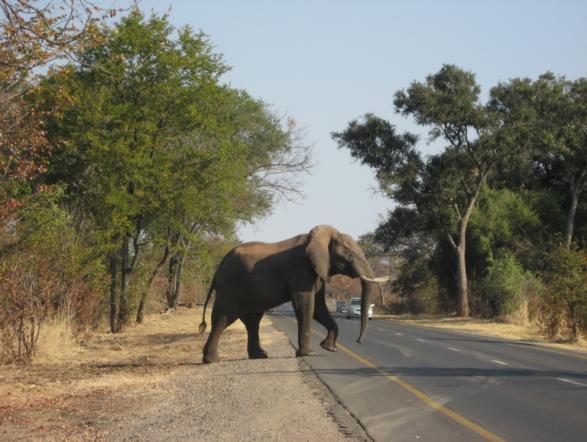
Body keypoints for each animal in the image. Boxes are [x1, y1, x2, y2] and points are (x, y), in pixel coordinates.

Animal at [200, 224, 388, 362]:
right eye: (350, 257)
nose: (359, 341)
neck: (318, 237)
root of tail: (218, 268)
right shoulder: (300, 270)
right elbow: (305, 306)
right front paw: (308, 354)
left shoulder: (316, 272)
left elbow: (318, 307)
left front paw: (328, 348)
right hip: (231, 287)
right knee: (223, 318)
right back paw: (212, 360)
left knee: (252, 321)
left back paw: (260, 356)